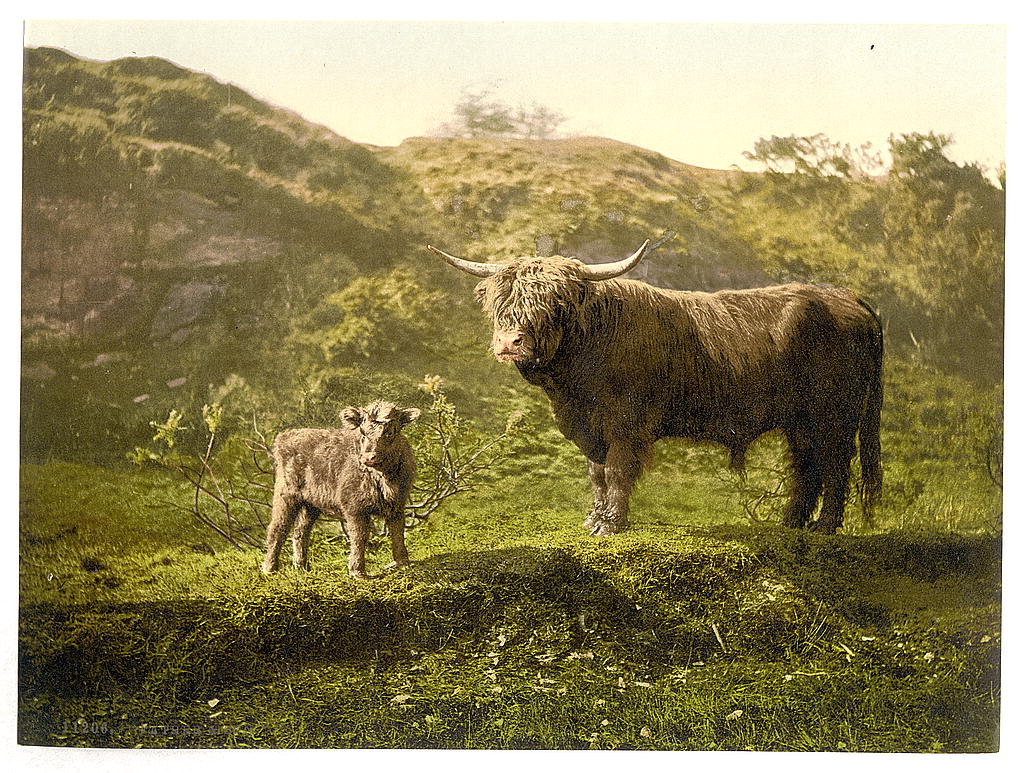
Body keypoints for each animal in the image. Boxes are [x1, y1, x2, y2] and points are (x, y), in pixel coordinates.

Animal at [264, 401, 423, 577]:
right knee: (277, 528)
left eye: (389, 432)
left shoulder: (397, 505)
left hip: (311, 503)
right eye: (362, 432)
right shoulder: (354, 507)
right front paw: (357, 571)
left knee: (301, 531)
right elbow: (359, 536)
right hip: (286, 495)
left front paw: (403, 563)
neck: (384, 478)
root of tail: (285, 436)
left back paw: (301, 567)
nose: (368, 457)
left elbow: (398, 532)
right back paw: (270, 569)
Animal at [428, 238, 884, 536]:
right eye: (501, 304)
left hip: (834, 413)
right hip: (799, 419)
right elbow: (596, 472)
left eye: (554, 304)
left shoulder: (626, 422)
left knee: (834, 463)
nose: (510, 342)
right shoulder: (588, 426)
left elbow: (616, 469)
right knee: (806, 464)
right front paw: (594, 518)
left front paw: (611, 524)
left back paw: (824, 527)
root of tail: (849, 299)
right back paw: (791, 525)